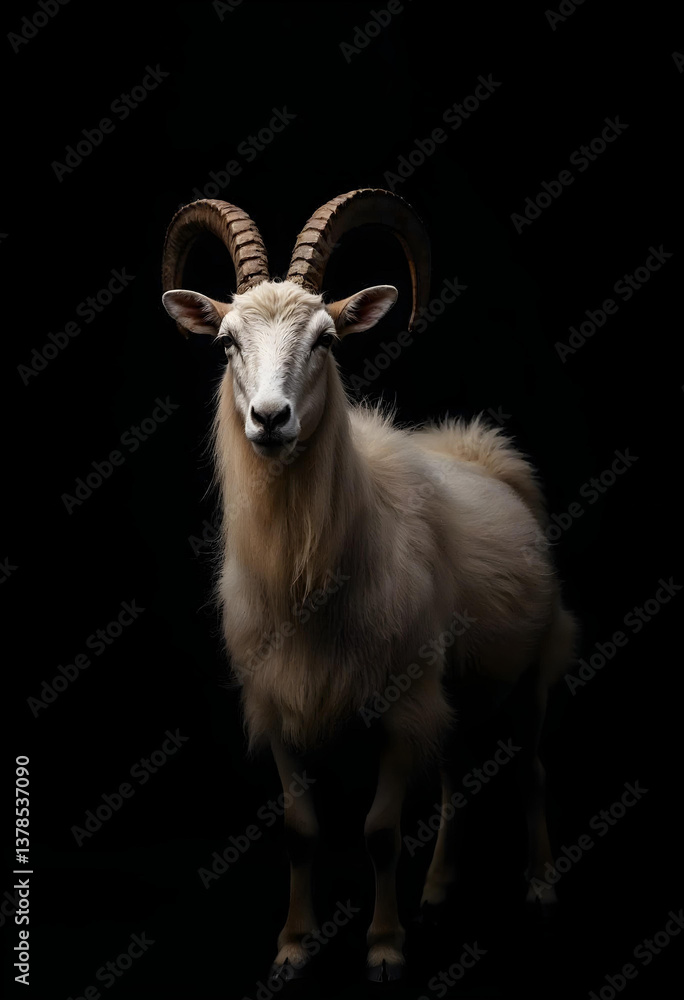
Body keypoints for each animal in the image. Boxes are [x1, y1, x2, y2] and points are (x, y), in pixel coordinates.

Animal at [161, 189, 577, 984]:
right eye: (226, 342)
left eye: (326, 339)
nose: (270, 419)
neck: (311, 574)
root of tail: (479, 447)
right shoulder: (279, 703)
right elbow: (299, 829)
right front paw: (294, 943)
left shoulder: (400, 704)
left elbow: (380, 831)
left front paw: (385, 947)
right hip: (455, 684)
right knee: (455, 776)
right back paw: (440, 888)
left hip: (534, 670)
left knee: (534, 770)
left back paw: (542, 884)